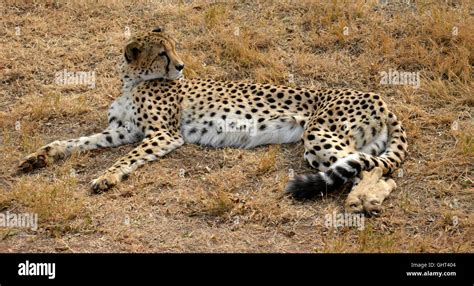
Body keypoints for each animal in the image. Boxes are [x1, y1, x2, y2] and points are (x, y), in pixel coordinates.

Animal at [18, 27, 408, 213]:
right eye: (162, 53)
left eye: (173, 49)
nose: (180, 65)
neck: (133, 81)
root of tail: (381, 98)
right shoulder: (122, 131)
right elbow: (74, 142)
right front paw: (39, 157)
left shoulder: (162, 134)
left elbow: (126, 158)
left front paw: (107, 176)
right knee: (376, 170)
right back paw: (365, 199)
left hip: (318, 134)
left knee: (371, 169)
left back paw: (363, 202)